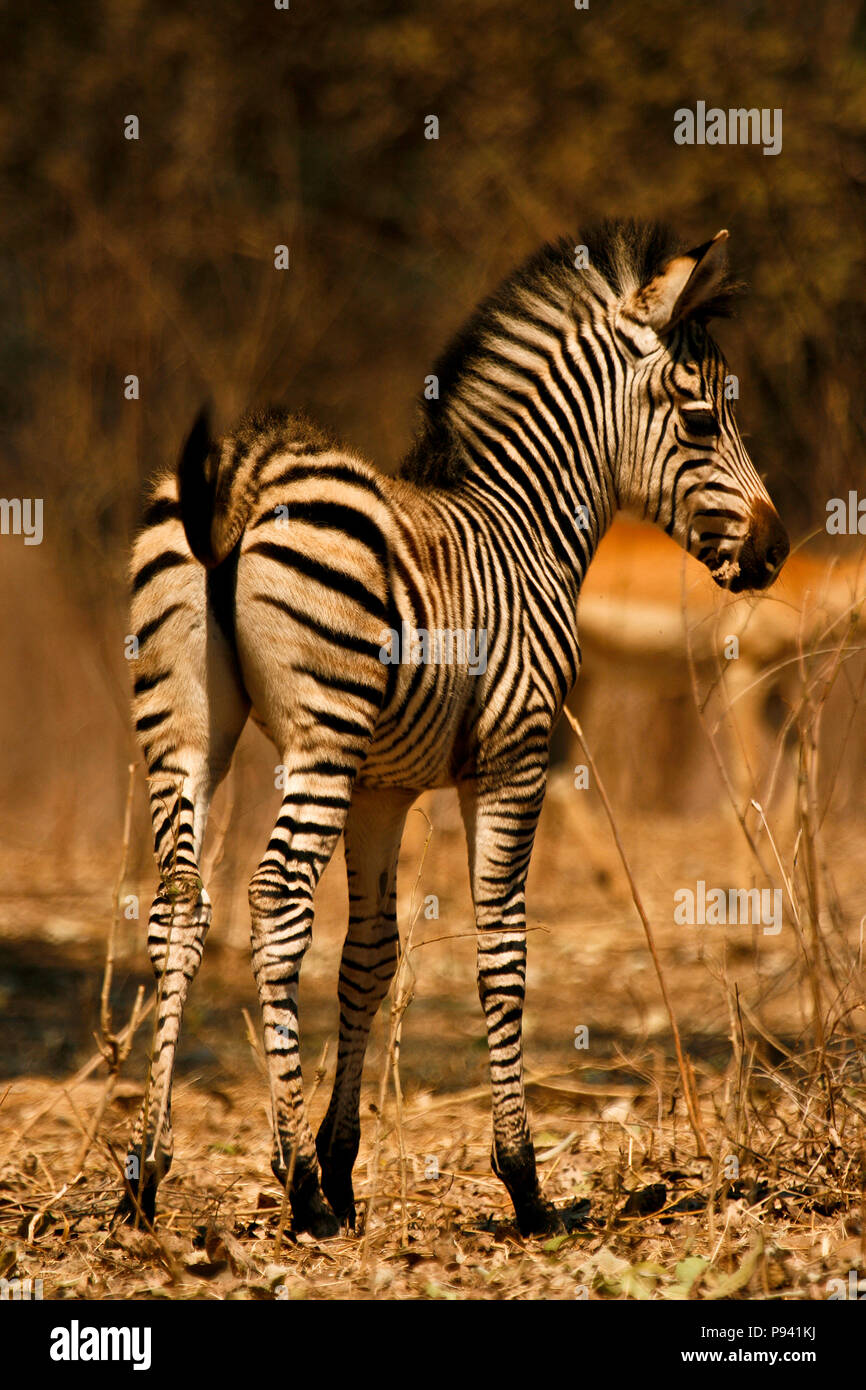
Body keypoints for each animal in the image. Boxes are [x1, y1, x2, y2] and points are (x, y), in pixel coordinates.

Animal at [123, 222, 795, 1234]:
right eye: (702, 421)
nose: (777, 550)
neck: (523, 528)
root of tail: (232, 475)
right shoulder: (513, 757)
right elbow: (502, 951)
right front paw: (520, 1180)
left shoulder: (385, 786)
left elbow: (370, 957)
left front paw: (346, 1163)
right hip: (320, 735)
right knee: (274, 900)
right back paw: (295, 1185)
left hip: (186, 733)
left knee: (177, 906)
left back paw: (148, 1173)